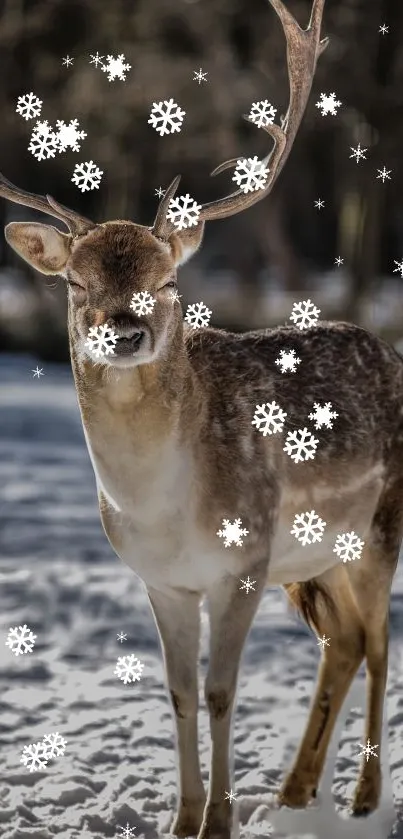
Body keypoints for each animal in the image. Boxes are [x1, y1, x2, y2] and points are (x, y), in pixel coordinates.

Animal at [0, 0, 403, 836]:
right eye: (75, 281)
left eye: (167, 279)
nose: (125, 331)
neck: (164, 506)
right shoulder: (163, 580)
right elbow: (181, 693)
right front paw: (184, 819)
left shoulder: (241, 563)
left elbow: (221, 692)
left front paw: (218, 819)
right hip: (313, 561)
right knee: (345, 640)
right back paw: (293, 791)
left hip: (378, 525)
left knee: (382, 642)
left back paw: (361, 796)